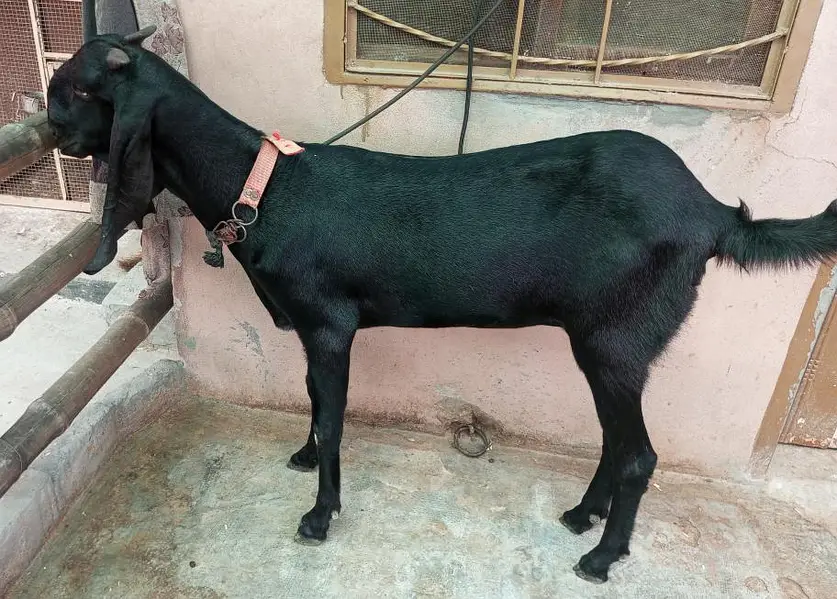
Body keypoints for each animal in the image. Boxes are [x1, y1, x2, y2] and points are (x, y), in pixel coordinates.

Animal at [47, 26, 837, 584]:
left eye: (76, 90)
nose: (45, 127)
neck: (265, 187)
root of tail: (710, 213)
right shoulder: (313, 330)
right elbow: (313, 402)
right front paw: (302, 457)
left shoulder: (330, 324)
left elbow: (334, 416)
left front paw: (319, 516)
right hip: (609, 343)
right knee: (618, 443)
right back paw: (581, 516)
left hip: (615, 338)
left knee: (639, 453)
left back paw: (600, 556)